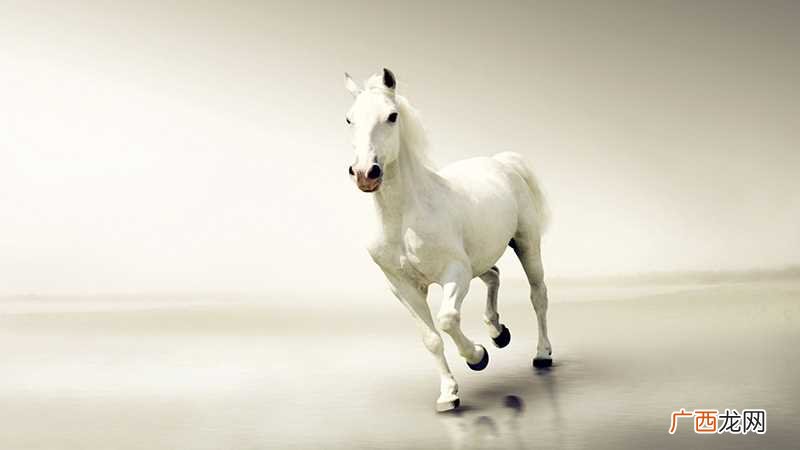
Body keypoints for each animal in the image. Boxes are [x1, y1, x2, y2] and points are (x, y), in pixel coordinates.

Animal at [343, 68, 552, 412]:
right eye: (349, 119)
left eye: (392, 116)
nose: (364, 173)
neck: (404, 218)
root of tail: (501, 162)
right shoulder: (403, 287)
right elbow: (430, 338)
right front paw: (448, 395)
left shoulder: (455, 273)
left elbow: (447, 320)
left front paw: (477, 357)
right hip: (479, 258)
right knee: (494, 275)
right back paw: (498, 332)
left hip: (526, 245)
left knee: (538, 295)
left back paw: (542, 354)